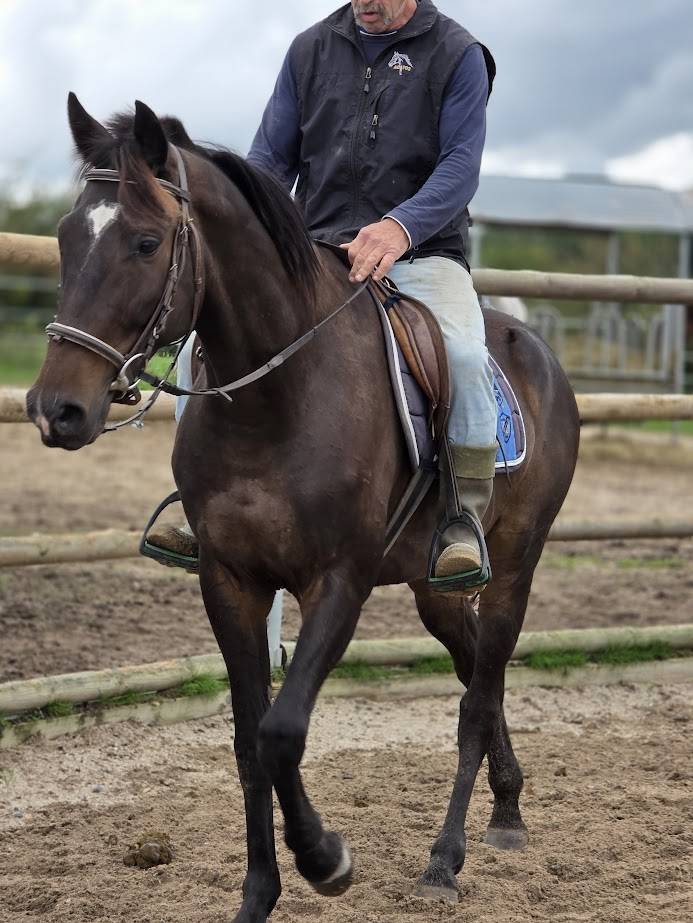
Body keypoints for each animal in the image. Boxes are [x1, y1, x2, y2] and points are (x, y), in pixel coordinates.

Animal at [27, 94, 580, 922]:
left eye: (146, 241)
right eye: (66, 237)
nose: (56, 409)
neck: (278, 398)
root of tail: (537, 351)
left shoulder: (338, 582)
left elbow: (282, 729)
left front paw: (326, 858)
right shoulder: (228, 580)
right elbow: (248, 741)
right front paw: (258, 895)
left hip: (514, 565)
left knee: (478, 697)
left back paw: (445, 857)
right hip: (433, 587)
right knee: (475, 664)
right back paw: (506, 807)